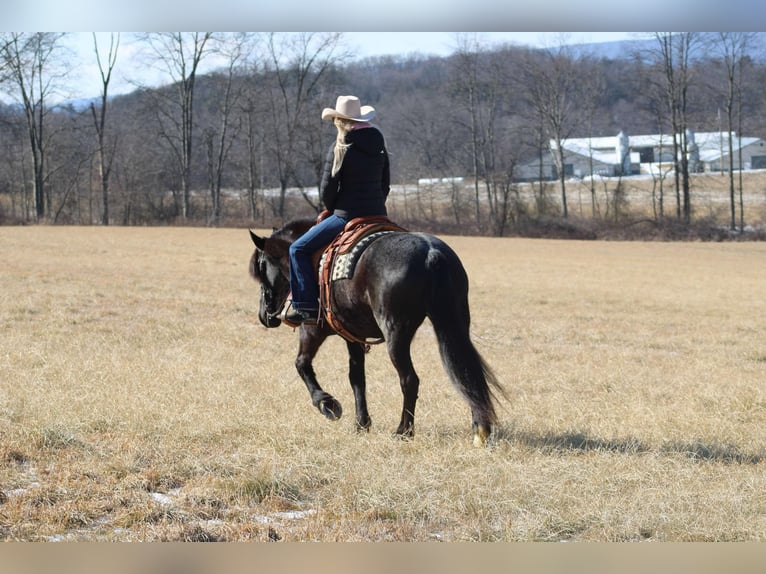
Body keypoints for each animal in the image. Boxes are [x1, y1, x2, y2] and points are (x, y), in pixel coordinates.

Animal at [249, 218, 508, 448]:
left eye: (261, 267)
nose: (265, 316)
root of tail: (430, 252)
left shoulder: (312, 329)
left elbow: (301, 364)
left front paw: (327, 405)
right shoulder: (353, 335)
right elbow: (357, 378)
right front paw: (361, 423)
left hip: (396, 332)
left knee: (410, 380)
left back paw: (403, 431)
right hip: (456, 324)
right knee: (467, 373)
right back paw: (480, 430)